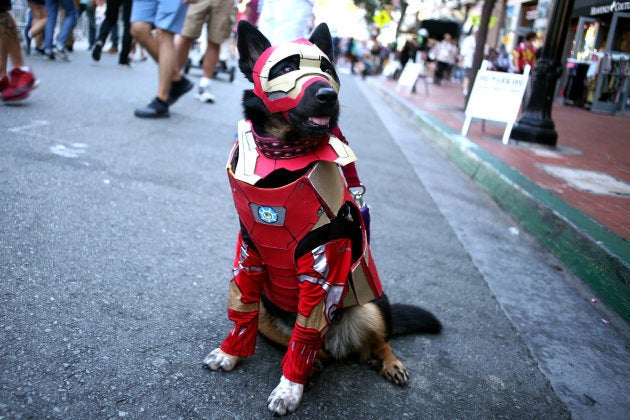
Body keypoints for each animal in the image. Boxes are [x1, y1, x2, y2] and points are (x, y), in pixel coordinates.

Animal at [205, 21, 442, 416]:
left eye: (328, 69)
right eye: (286, 68)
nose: (326, 95)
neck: (284, 157)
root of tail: (337, 344)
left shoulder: (322, 269)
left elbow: (305, 334)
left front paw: (289, 388)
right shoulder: (249, 257)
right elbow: (242, 312)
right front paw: (229, 353)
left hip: (370, 307)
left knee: (374, 343)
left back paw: (387, 362)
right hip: (271, 314)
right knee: (307, 347)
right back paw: (315, 365)